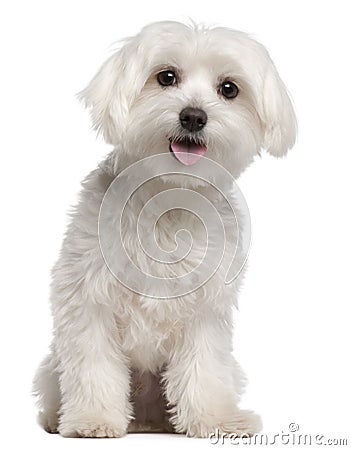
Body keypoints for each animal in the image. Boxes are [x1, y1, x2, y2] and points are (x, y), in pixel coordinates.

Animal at [33, 19, 296, 438]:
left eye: (229, 89)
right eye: (166, 76)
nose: (193, 116)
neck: (169, 192)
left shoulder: (206, 310)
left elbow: (204, 367)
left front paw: (215, 420)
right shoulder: (88, 299)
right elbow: (94, 366)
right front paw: (93, 419)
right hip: (51, 367)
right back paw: (57, 419)